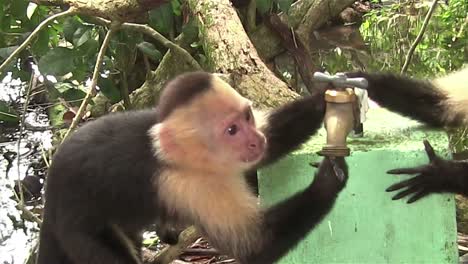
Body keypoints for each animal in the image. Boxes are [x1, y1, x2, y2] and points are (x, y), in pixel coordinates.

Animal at [36, 71, 350, 262]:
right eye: (232, 130)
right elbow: (253, 244)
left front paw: (326, 96)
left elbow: (272, 139)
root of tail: (50, 198)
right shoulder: (189, 185)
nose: (254, 141)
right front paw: (327, 182)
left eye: (248, 117)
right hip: (78, 228)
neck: (192, 159)